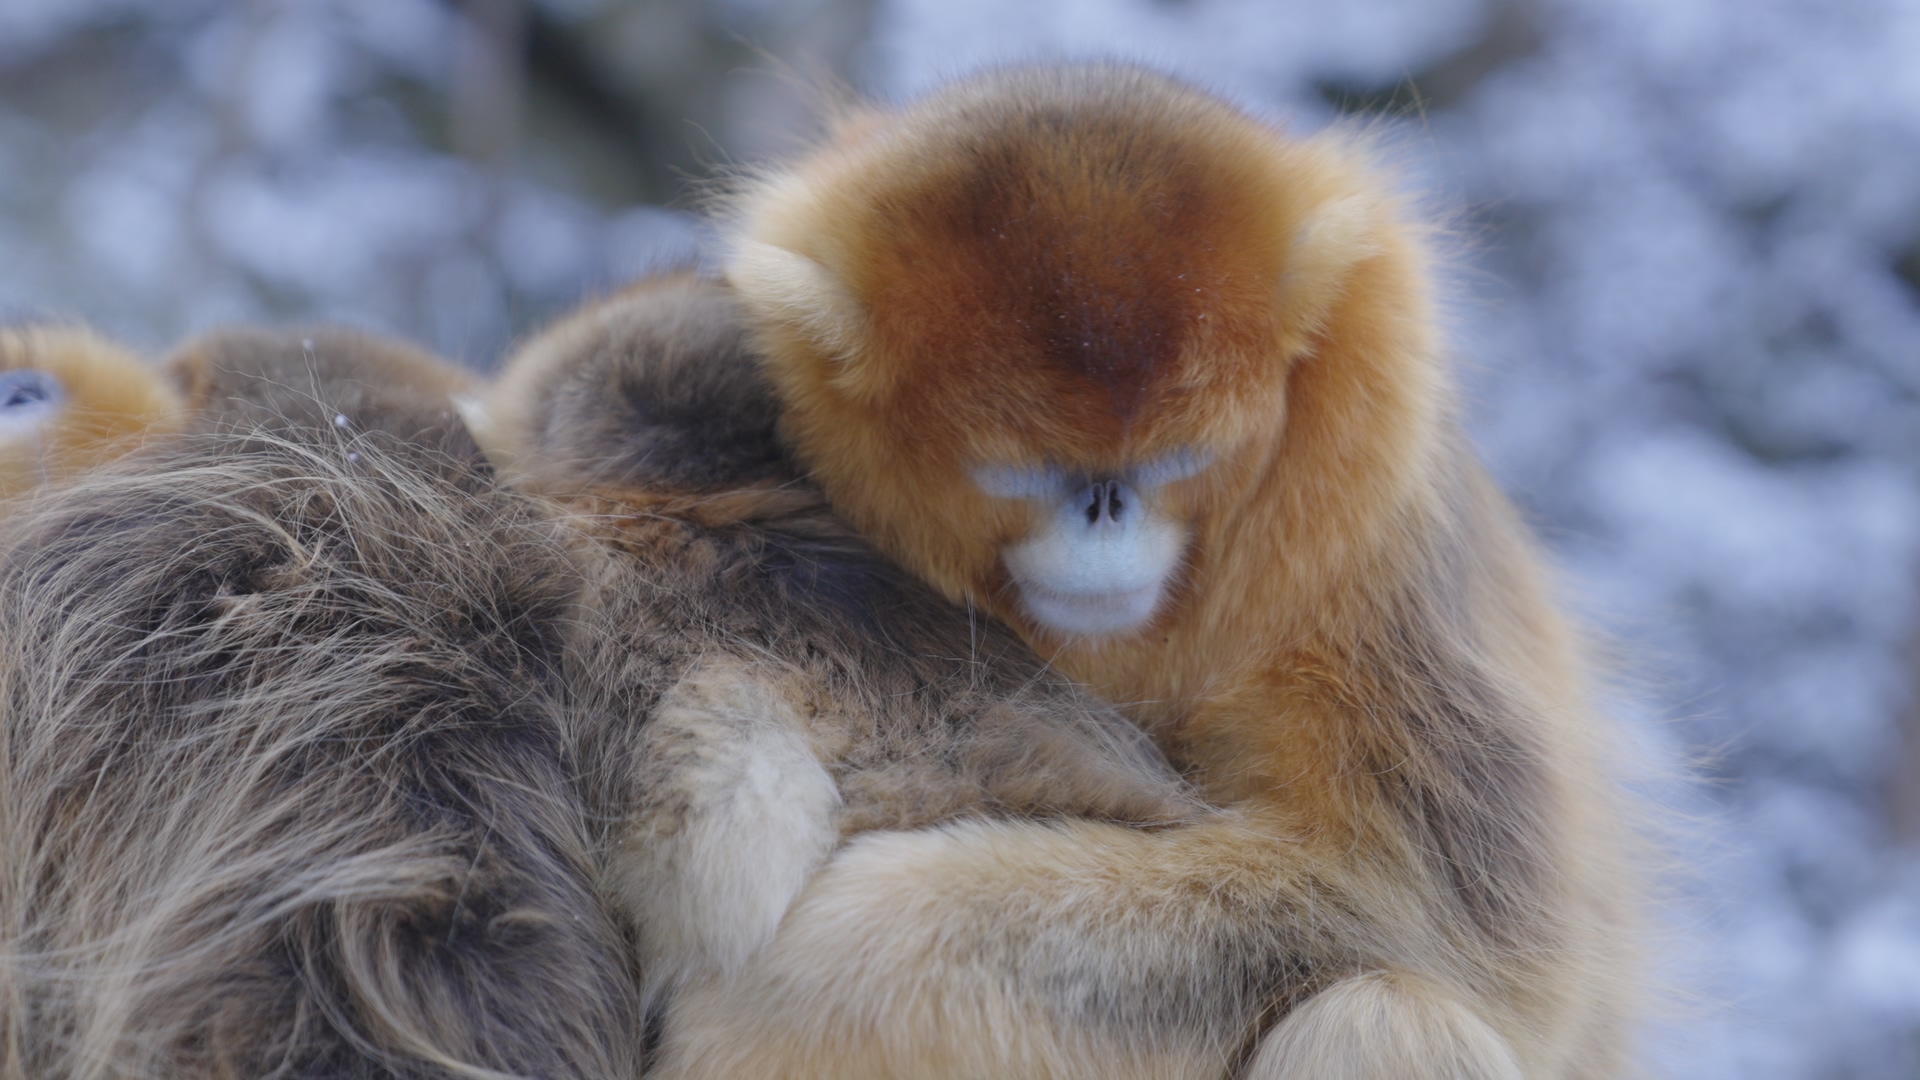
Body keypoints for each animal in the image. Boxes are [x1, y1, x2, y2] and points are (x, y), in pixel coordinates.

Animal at [650, 63, 1644, 1079]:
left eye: (1178, 461)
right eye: (1024, 476)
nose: (1106, 509)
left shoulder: (1370, 507)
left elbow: (1426, 919)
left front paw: (802, 978)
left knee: (1382, 1018)